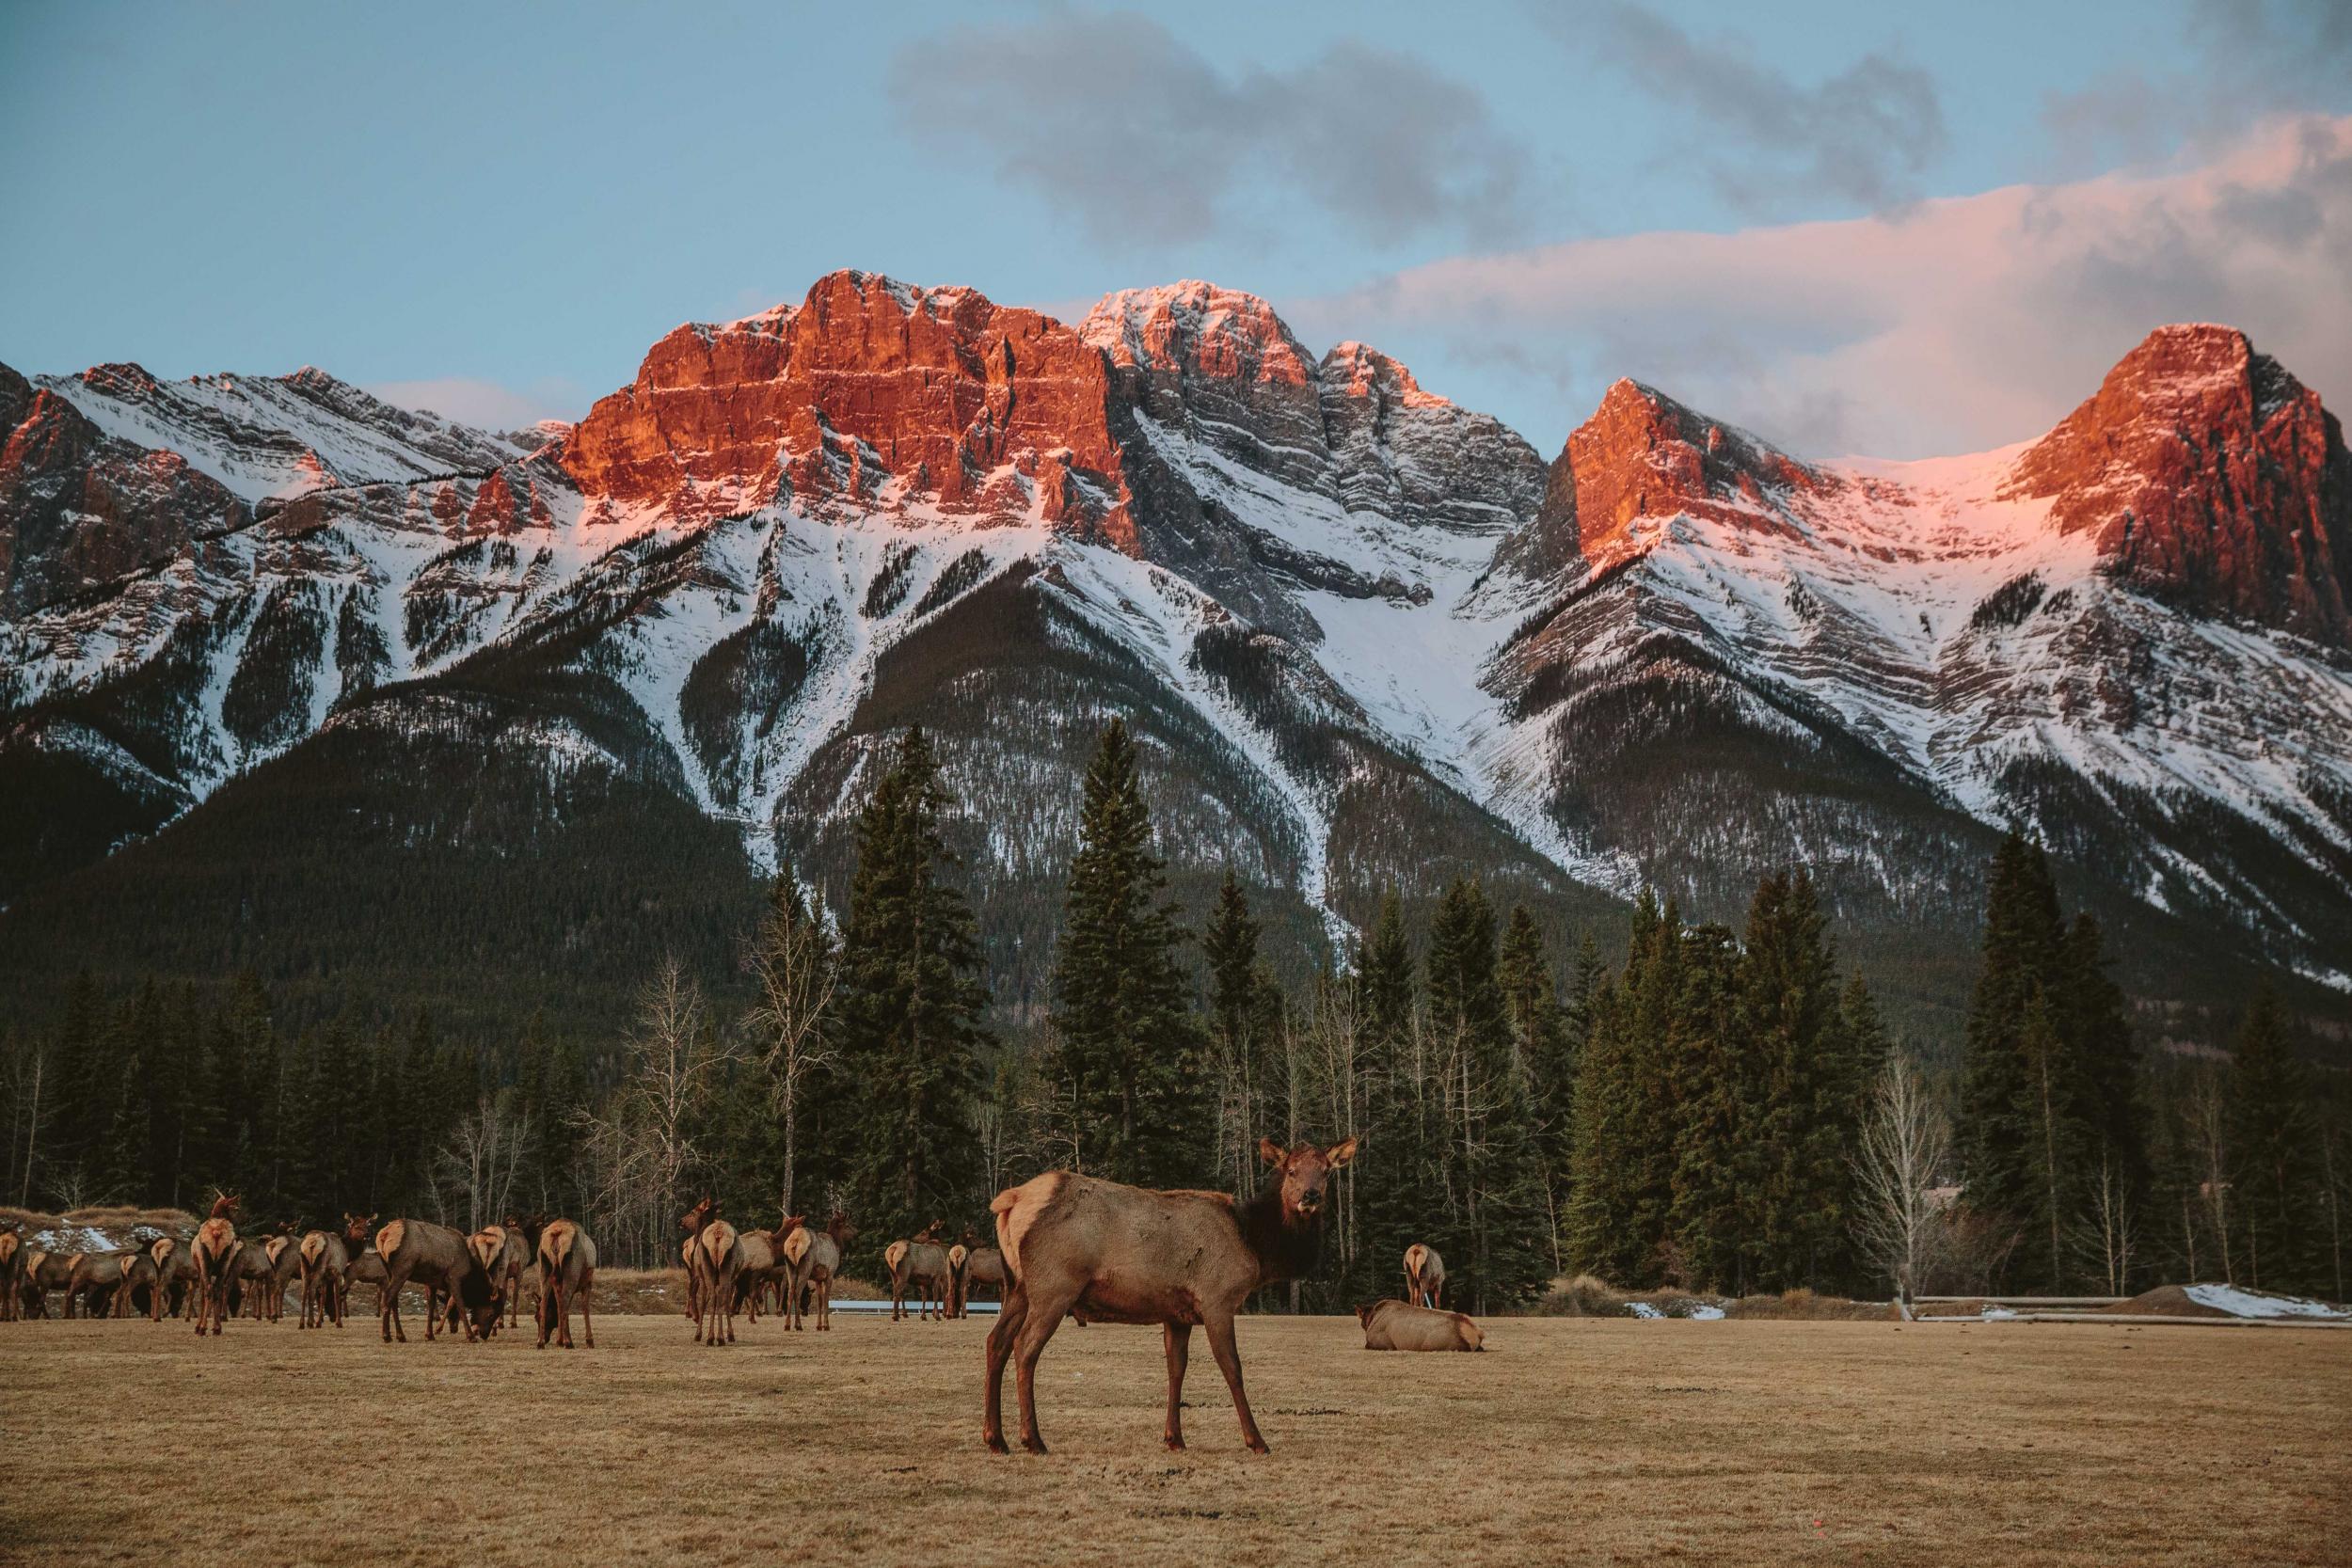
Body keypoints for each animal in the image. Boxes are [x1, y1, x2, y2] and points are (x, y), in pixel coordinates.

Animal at [189, 1194, 240, 1344]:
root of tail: (216, 1232)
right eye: (236, 1208)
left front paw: (198, 1326)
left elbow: (202, 1294)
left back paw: (203, 1328)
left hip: (205, 1264)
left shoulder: (200, 1270)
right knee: (217, 1291)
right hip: (224, 1265)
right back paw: (216, 1328)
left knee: (208, 1291)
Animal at [373, 1222, 494, 1344]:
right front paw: (471, 1336)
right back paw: (387, 1336)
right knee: (387, 1296)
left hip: (389, 1272)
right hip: (402, 1270)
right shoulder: (454, 1277)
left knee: (393, 1300)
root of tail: (383, 1236)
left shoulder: (431, 1282)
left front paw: (429, 1335)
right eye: (491, 1313)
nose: (484, 1335)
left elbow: (431, 1306)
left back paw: (400, 1336)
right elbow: (460, 1305)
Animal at [517, 1212, 597, 1354]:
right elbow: (584, 1308)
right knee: (565, 1301)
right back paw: (568, 1342)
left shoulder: (556, 1282)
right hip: (572, 1271)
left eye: (535, 1317)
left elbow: (558, 1306)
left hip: (544, 1268)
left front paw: (559, 1340)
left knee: (545, 1301)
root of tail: (556, 1234)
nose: (545, 1337)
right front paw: (589, 1341)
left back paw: (540, 1343)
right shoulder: (587, 1281)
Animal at [988, 1132, 1364, 1457]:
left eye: (1326, 1171)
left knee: (996, 1342)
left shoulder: (1177, 1314)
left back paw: (996, 1438)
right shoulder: (1217, 1299)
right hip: (1054, 1286)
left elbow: (1176, 1368)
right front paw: (1256, 1440)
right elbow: (1232, 1367)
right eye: (1291, 1170)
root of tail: (1011, 1201)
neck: (1255, 1246)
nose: (1310, 1196)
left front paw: (1174, 1438)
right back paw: (1032, 1439)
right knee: (1025, 1347)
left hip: (1016, 1287)